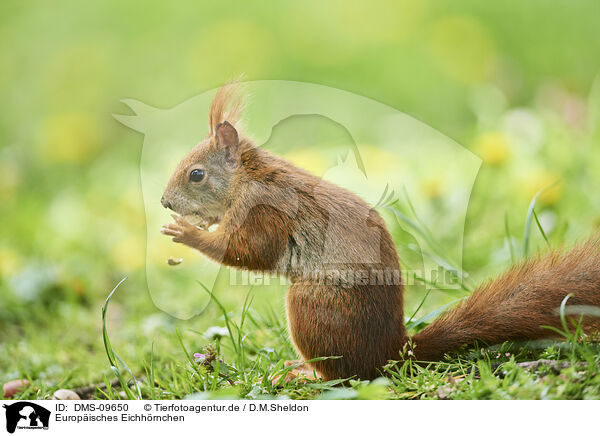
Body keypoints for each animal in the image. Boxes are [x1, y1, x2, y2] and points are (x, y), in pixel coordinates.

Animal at [159, 82, 600, 382]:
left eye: (196, 174)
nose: (164, 202)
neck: (247, 178)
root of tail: (393, 352)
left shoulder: (265, 211)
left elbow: (249, 252)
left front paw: (189, 234)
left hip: (311, 308)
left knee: (346, 375)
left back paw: (305, 373)